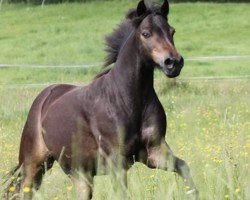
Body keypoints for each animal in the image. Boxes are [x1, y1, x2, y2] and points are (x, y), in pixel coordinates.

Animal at [3, 0, 198, 199]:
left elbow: (184, 168)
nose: (173, 63)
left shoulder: (154, 151)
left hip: (80, 174)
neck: (128, 100)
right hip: (33, 164)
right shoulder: (117, 162)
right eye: (146, 33)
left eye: (172, 31)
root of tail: (43, 99)